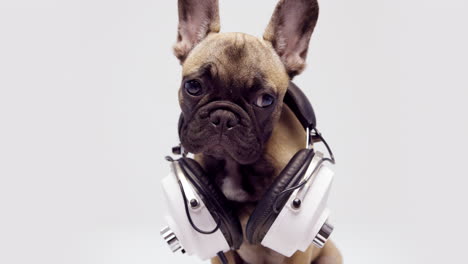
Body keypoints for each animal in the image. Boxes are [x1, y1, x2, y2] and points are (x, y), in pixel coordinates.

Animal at [174, 0, 342, 264]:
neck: (235, 165)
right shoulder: (224, 250)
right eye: (193, 86)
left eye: (265, 100)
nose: (224, 117)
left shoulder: (297, 252)